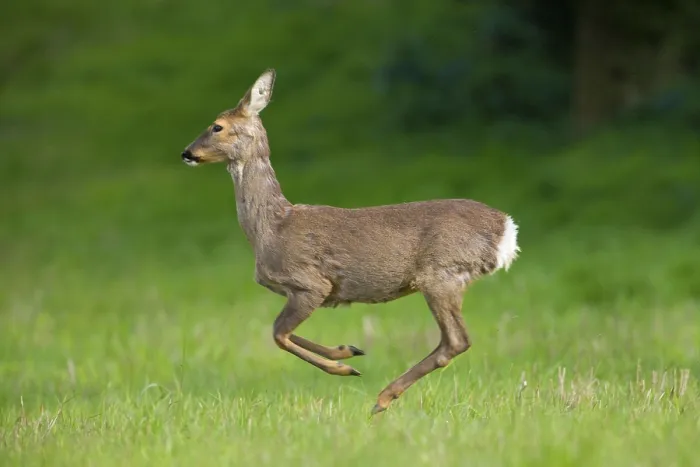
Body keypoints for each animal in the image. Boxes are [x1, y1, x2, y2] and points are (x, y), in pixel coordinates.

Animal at [180, 68, 520, 415]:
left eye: (217, 125)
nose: (187, 153)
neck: (271, 227)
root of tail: (507, 229)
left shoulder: (311, 283)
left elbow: (278, 333)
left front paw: (345, 367)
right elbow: (284, 333)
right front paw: (348, 351)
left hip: (441, 273)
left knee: (456, 340)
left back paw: (382, 399)